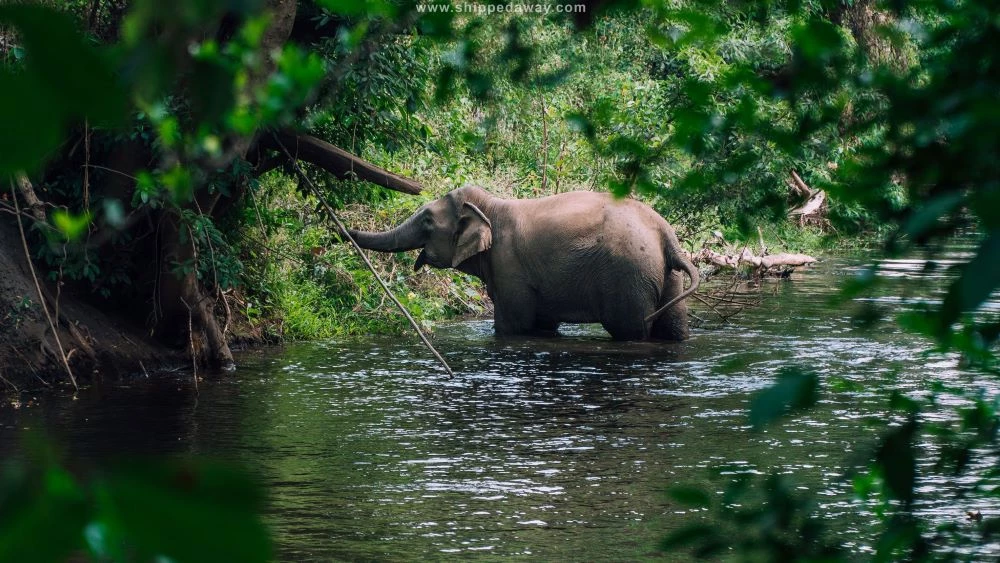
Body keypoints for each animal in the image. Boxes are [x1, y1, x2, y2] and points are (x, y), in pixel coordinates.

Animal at [348, 187, 700, 342]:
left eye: (427, 222)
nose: (344, 229)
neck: (490, 204)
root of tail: (666, 235)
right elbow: (543, 325)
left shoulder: (509, 266)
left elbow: (514, 326)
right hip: (664, 276)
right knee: (673, 329)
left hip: (628, 276)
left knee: (631, 331)